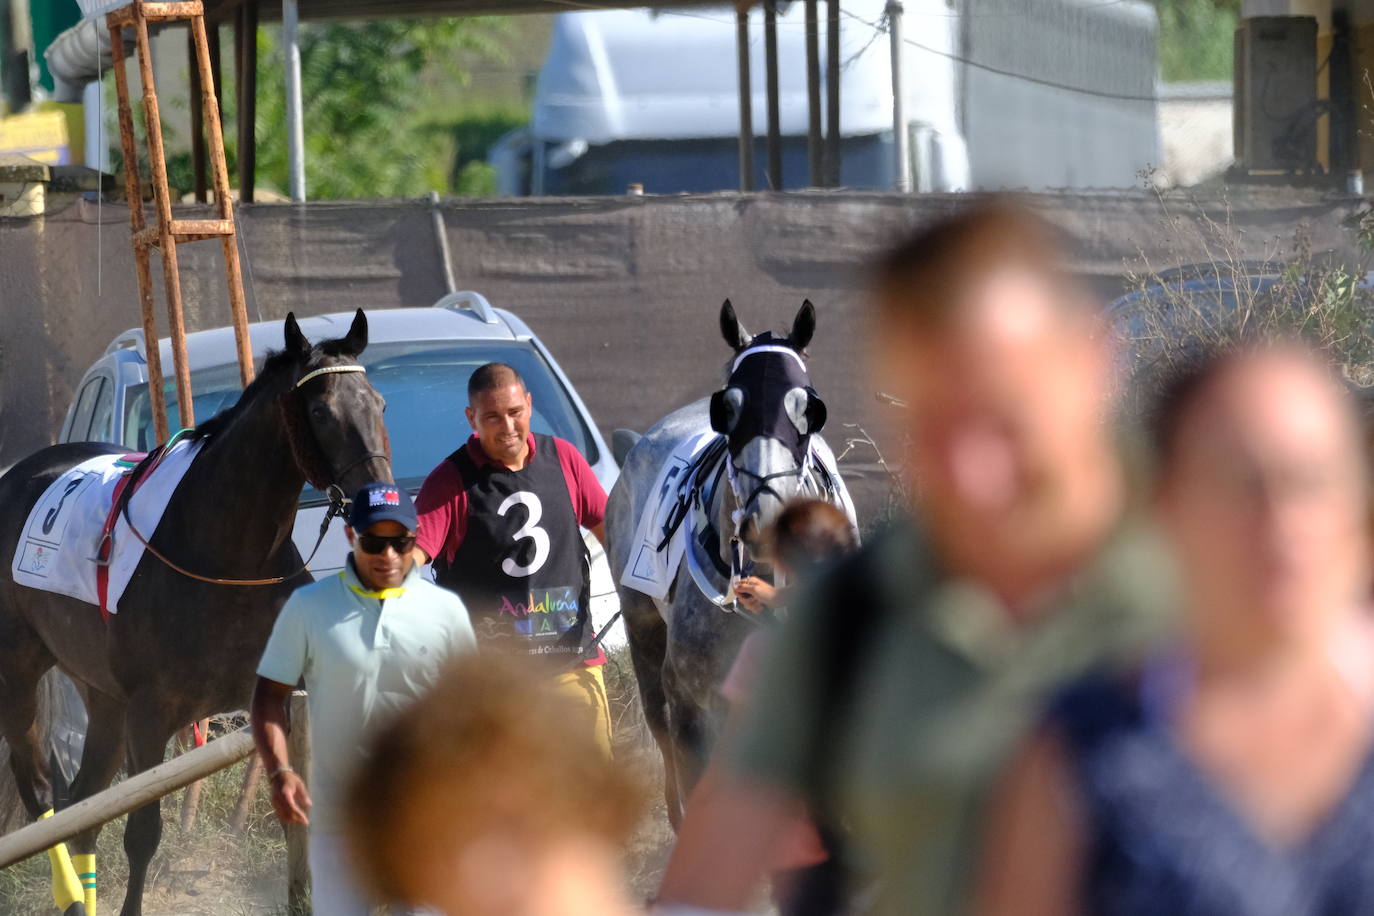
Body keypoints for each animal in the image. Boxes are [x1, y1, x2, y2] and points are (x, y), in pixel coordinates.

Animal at [0, 311, 392, 911]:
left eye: (378, 403)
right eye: (322, 411)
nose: (380, 505)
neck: (229, 559)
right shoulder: (150, 714)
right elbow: (142, 833)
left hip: (103, 697)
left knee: (83, 808)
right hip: (20, 670)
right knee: (42, 793)